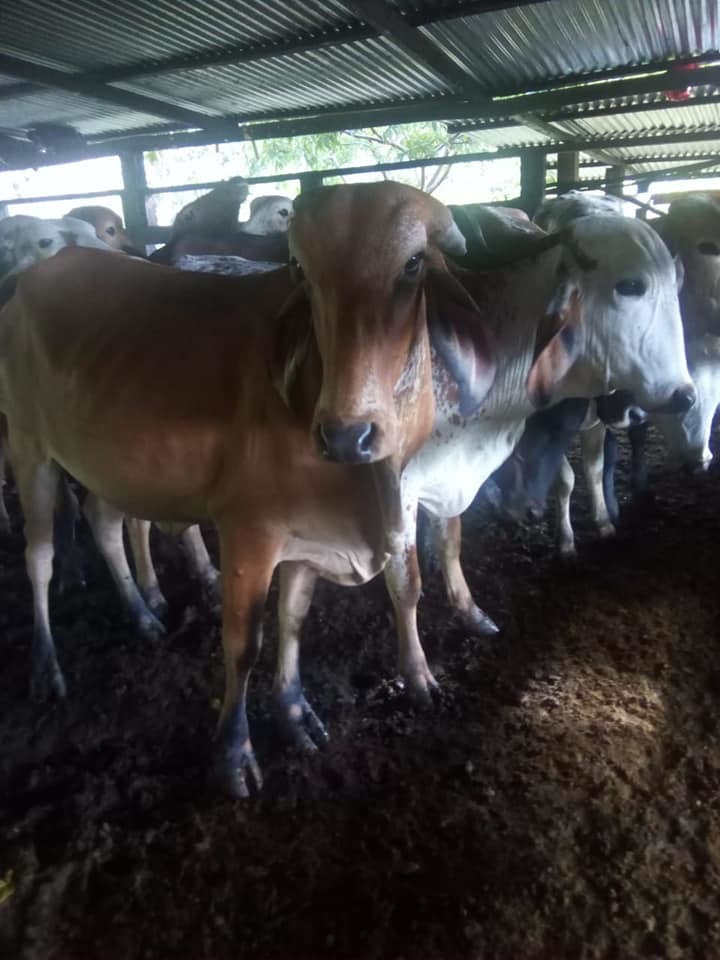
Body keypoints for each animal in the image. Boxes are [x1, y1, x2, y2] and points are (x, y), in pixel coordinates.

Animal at [0, 181, 490, 798]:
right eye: (302, 270)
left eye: (412, 264)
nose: (346, 434)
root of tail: (33, 278)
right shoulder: (249, 536)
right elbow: (245, 643)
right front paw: (234, 753)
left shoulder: (311, 539)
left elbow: (295, 621)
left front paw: (296, 713)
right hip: (29, 449)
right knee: (38, 557)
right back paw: (46, 664)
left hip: (109, 466)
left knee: (104, 525)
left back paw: (142, 614)